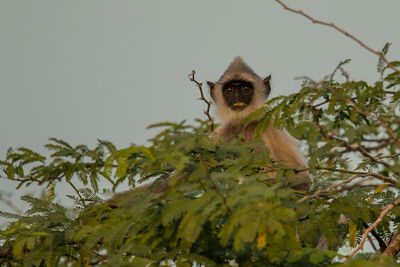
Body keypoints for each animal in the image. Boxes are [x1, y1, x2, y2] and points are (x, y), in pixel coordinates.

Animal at [205, 57, 310, 193]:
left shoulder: (269, 127)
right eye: (229, 90)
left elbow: (303, 180)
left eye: (245, 88)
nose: (237, 96)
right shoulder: (219, 136)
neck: (244, 125)